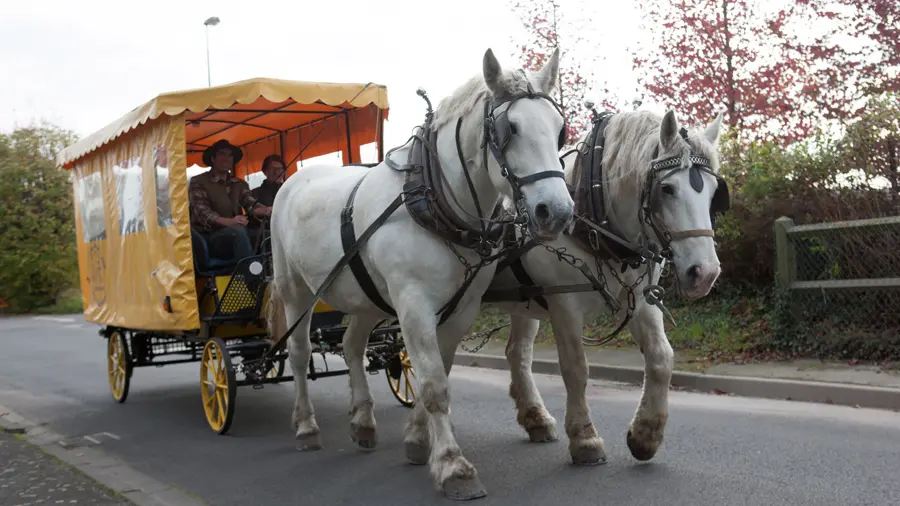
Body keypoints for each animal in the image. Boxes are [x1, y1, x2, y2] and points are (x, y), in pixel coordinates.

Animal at [268, 49, 572, 500]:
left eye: (559, 130)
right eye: (509, 129)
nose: (558, 212)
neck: (433, 201)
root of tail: (295, 178)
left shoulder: (461, 308)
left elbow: (438, 372)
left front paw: (418, 440)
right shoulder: (413, 305)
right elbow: (433, 385)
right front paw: (452, 465)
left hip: (365, 296)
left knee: (352, 345)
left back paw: (362, 422)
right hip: (296, 291)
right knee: (300, 351)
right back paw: (306, 426)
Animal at [482, 107, 728, 466]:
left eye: (712, 191)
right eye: (667, 189)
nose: (705, 273)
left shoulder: (641, 299)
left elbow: (661, 358)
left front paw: (645, 435)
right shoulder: (564, 303)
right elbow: (575, 368)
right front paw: (585, 439)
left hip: (524, 300)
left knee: (518, 353)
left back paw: (536, 418)